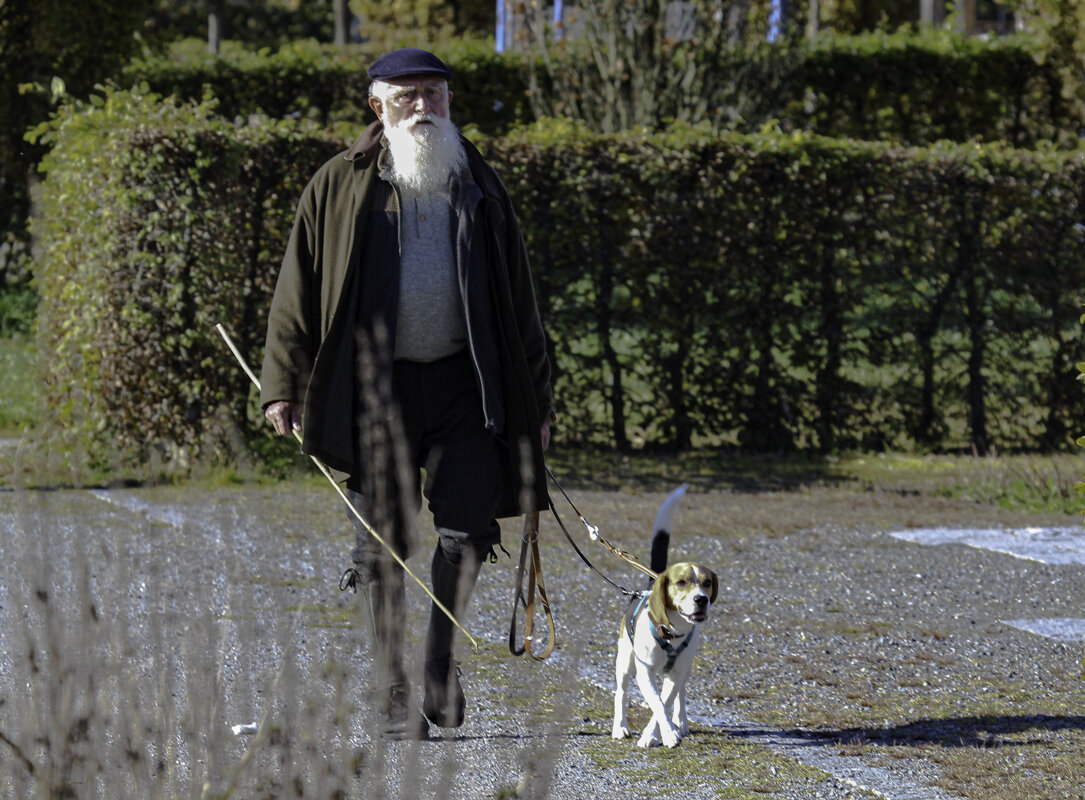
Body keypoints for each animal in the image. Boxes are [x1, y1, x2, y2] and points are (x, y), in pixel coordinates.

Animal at [616, 484, 716, 746]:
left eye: (707, 583)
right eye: (681, 582)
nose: (701, 599)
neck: (672, 631)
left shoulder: (678, 672)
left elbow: (665, 701)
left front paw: (659, 733)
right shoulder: (645, 672)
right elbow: (657, 703)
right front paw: (665, 733)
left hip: (685, 669)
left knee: (680, 693)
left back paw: (681, 721)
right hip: (625, 661)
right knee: (620, 692)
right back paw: (620, 726)